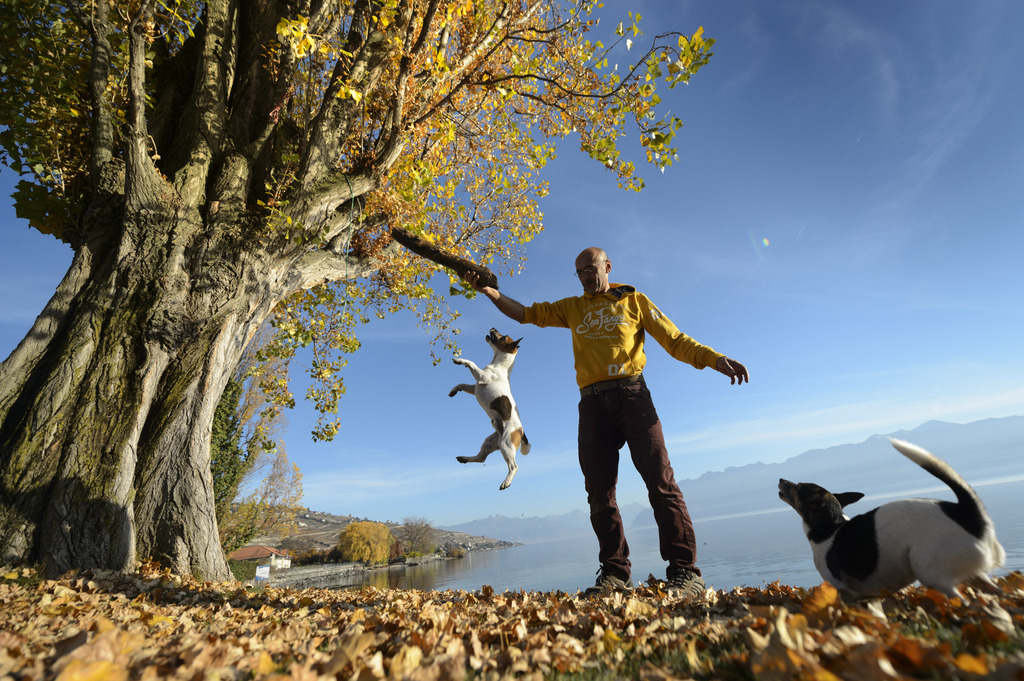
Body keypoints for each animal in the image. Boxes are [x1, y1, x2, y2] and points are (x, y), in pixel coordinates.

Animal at [448, 327, 532, 489]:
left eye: (503, 336)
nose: (493, 328)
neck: (500, 365)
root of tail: (521, 431)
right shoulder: (475, 387)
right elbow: (462, 384)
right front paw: (454, 390)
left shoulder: (482, 376)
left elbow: (472, 363)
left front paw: (460, 360)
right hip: (490, 441)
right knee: (481, 458)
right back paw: (465, 458)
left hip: (506, 444)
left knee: (514, 466)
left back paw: (506, 482)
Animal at [778, 438, 1003, 598]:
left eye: (798, 486)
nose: (780, 479)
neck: (831, 526)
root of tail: (965, 512)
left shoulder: (842, 589)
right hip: (973, 573)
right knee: (995, 592)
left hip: (929, 570)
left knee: (959, 598)